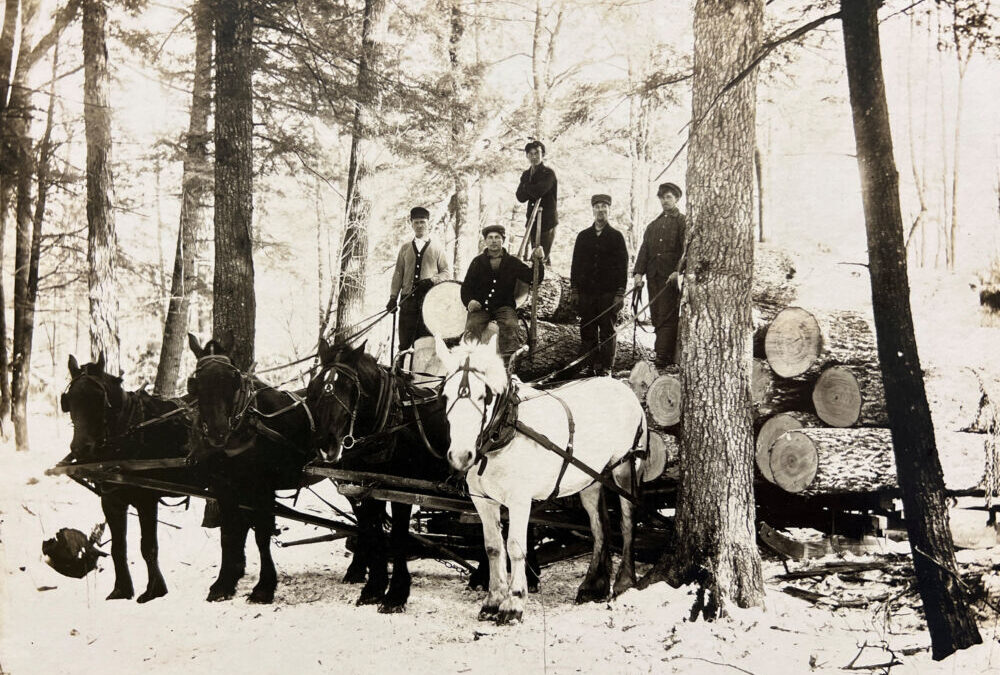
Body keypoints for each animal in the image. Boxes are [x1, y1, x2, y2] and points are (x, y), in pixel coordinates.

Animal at [60, 354, 191, 604]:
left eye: (99, 397)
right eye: (68, 400)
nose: (81, 449)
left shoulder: (146, 499)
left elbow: (148, 546)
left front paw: (154, 590)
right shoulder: (111, 501)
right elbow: (118, 548)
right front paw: (121, 590)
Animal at [186, 336, 312, 604]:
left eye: (233, 379)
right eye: (196, 384)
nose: (218, 432)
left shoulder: (262, 487)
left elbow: (261, 534)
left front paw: (264, 587)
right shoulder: (224, 487)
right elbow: (229, 533)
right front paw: (224, 583)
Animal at [302, 338, 452, 612]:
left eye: (351, 388)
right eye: (315, 385)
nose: (325, 444)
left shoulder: (401, 490)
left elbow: (398, 536)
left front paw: (396, 595)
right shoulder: (365, 488)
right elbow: (373, 533)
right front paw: (373, 588)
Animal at [438, 336, 648, 624]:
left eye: (484, 396)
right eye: (445, 395)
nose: (460, 455)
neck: (505, 431)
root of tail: (623, 387)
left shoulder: (519, 500)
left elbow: (515, 547)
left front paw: (513, 603)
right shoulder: (482, 500)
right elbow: (493, 547)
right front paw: (492, 600)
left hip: (625, 466)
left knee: (627, 521)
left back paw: (624, 581)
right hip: (592, 478)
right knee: (599, 526)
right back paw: (593, 585)